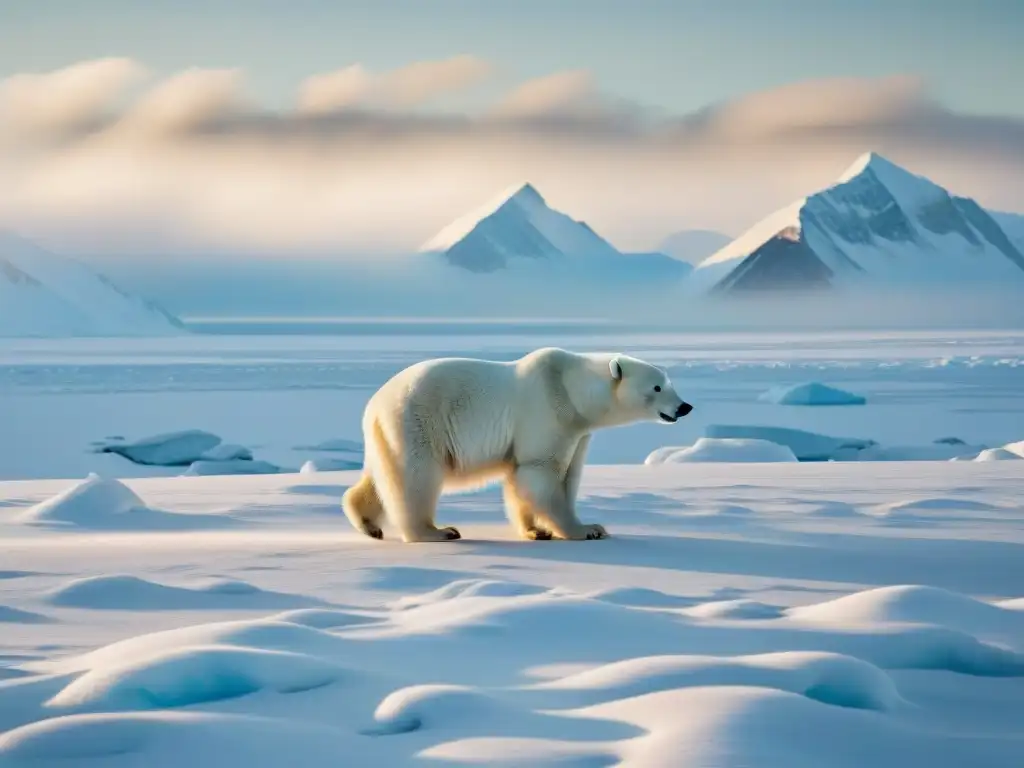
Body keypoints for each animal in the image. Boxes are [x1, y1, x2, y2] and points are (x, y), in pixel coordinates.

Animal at [342, 347, 692, 543]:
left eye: (670, 383)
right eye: (657, 387)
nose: (685, 406)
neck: (572, 390)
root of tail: (373, 405)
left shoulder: (577, 432)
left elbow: (550, 476)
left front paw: (536, 530)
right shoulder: (548, 411)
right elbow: (541, 474)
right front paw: (586, 529)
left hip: (387, 434)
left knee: (380, 477)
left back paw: (369, 525)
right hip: (417, 422)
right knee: (416, 478)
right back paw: (437, 532)